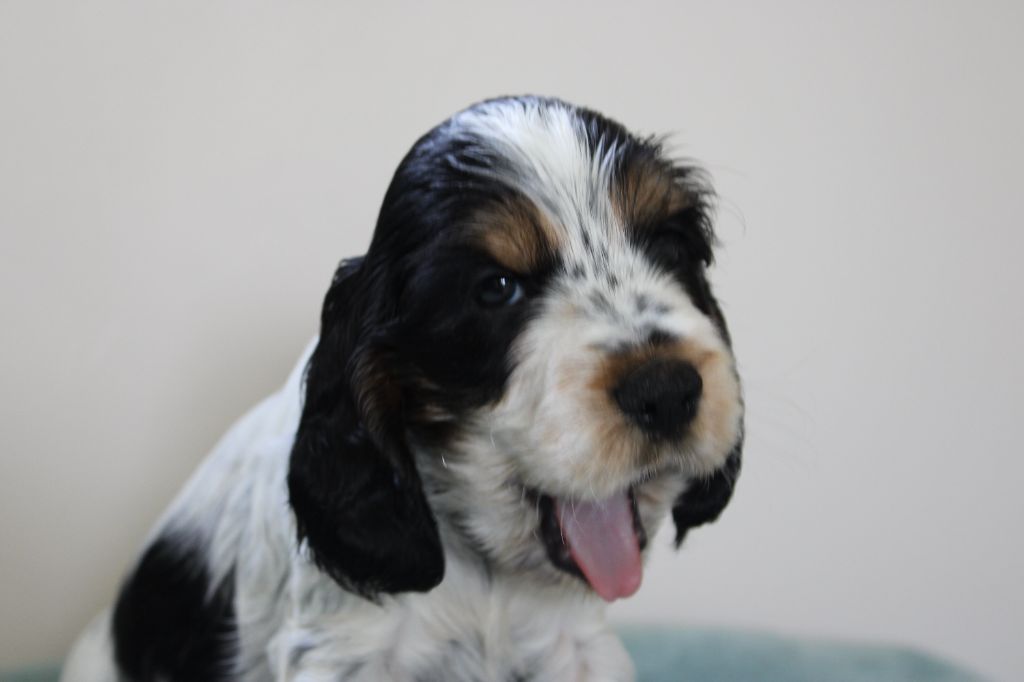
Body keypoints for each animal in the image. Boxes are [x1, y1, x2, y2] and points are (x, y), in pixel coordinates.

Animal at [61, 96, 744, 682]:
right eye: (497, 288)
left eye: (671, 246)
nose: (667, 391)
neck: (490, 575)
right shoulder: (340, 652)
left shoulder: (578, 647)